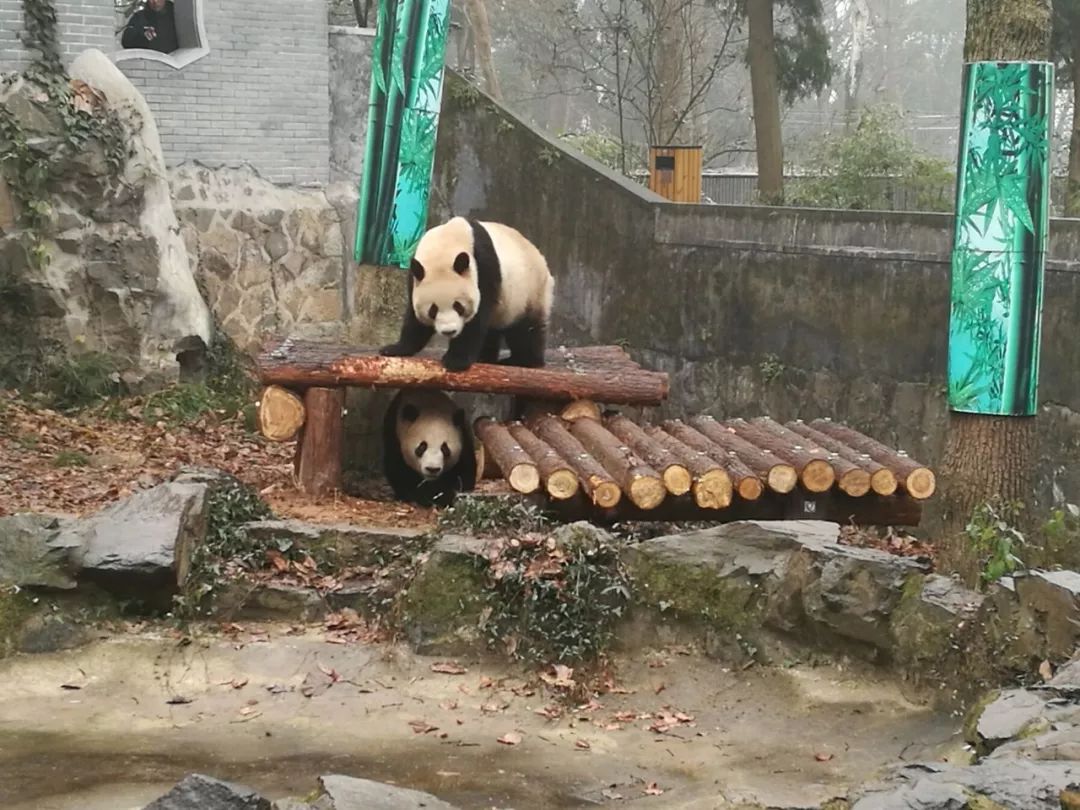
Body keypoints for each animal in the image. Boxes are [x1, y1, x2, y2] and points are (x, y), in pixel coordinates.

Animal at [380, 219, 552, 378]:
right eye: (432, 310)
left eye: (458, 306)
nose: (449, 331)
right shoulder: (415, 276)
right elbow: (415, 320)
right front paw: (395, 348)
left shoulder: (483, 269)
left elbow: (476, 319)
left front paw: (456, 361)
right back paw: (485, 357)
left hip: (529, 292)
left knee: (524, 330)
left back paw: (525, 360)